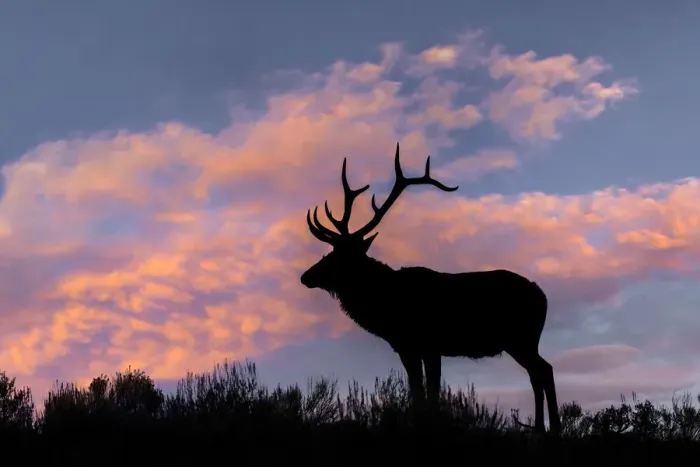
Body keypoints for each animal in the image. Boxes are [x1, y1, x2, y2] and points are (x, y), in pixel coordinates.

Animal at [300, 143, 561, 434]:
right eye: (328, 252)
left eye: (339, 257)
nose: (306, 276)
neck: (384, 305)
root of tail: (543, 296)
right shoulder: (408, 348)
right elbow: (418, 391)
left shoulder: (429, 344)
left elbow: (432, 392)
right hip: (523, 341)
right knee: (538, 373)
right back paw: (540, 428)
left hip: (521, 338)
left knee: (544, 370)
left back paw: (553, 428)